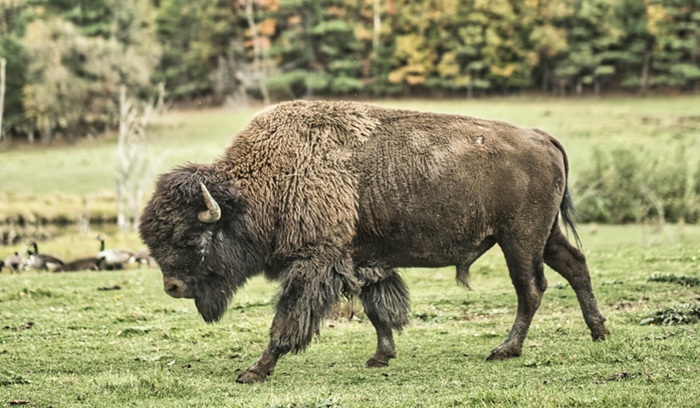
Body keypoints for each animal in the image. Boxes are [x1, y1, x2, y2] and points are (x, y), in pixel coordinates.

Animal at [139, 101, 608, 383]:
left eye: (191, 235)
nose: (172, 287)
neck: (264, 183)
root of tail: (540, 136)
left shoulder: (316, 262)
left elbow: (287, 319)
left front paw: (254, 370)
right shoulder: (361, 259)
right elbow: (377, 308)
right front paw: (381, 356)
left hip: (520, 239)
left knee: (531, 289)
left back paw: (504, 350)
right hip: (543, 235)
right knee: (575, 265)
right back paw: (599, 332)